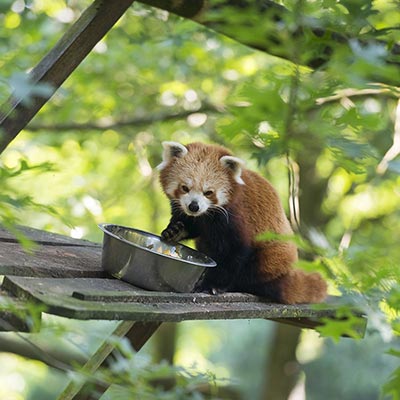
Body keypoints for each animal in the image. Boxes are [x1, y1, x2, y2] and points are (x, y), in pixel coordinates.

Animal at [158, 142, 326, 304]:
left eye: (208, 192)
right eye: (185, 188)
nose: (194, 206)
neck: (205, 215)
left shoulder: (235, 217)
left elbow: (234, 252)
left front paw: (212, 285)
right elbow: (190, 225)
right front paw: (174, 230)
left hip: (271, 260)